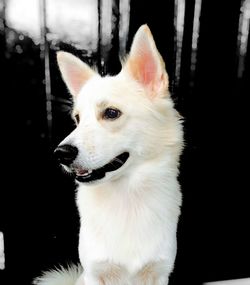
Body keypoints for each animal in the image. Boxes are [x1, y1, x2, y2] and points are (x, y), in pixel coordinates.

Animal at [33, 25, 184, 284]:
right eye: (77, 119)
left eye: (111, 113)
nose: (61, 153)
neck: (127, 197)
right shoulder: (95, 272)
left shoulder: (159, 272)